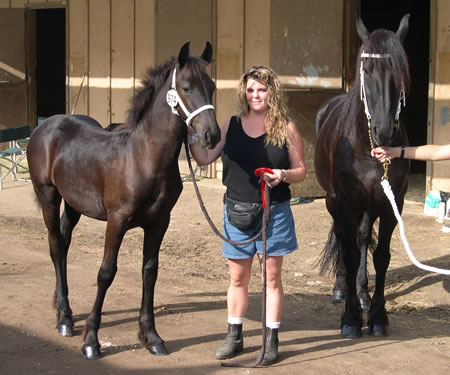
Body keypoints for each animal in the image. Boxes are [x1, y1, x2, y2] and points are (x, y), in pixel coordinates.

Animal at [26, 41, 220, 358]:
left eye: (212, 86)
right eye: (186, 87)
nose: (210, 135)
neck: (143, 158)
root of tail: (47, 125)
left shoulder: (159, 222)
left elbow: (149, 272)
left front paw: (151, 337)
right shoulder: (116, 220)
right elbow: (106, 273)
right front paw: (91, 341)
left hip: (74, 204)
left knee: (64, 245)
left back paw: (63, 310)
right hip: (49, 196)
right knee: (55, 246)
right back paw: (65, 320)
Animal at [314, 14, 410, 340]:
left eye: (401, 72)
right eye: (366, 71)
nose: (385, 131)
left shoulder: (392, 205)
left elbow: (381, 256)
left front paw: (377, 316)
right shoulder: (345, 204)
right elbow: (350, 254)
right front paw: (351, 319)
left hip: (368, 208)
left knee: (361, 236)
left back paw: (362, 293)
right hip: (334, 203)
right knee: (344, 241)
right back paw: (342, 289)